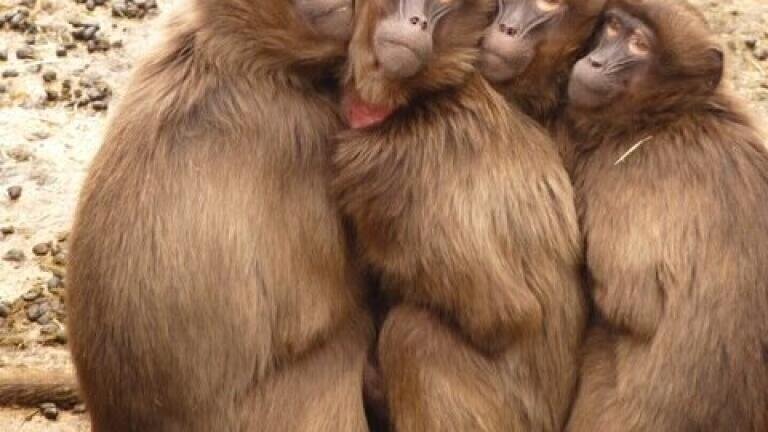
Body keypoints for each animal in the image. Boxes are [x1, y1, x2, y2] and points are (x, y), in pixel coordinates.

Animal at [334, 0, 587, 430]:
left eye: (442, 5)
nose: (417, 21)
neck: (417, 101)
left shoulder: (398, 171)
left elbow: (503, 316)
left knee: (412, 334)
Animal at [558, 1, 768, 430]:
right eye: (613, 26)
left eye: (639, 44)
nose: (597, 61)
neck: (668, 116)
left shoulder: (631, 170)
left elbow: (630, 301)